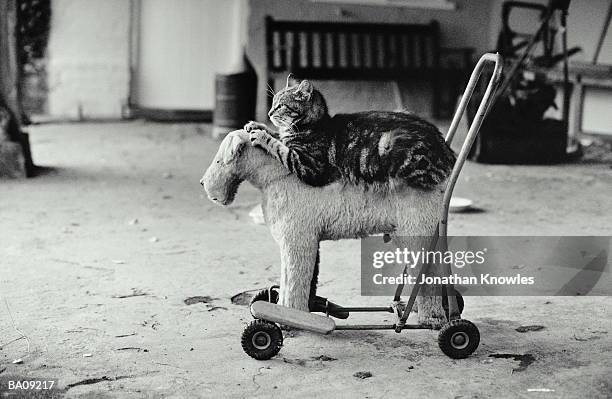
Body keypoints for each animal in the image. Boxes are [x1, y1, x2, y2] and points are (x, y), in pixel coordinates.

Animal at [246, 77, 456, 192]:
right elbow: (278, 136)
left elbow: (279, 147)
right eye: (273, 102)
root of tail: (449, 153)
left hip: (391, 143)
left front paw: (261, 135)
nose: (269, 113)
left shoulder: (309, 166)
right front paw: (256, 125)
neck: (315, 124)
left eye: (280, 105)